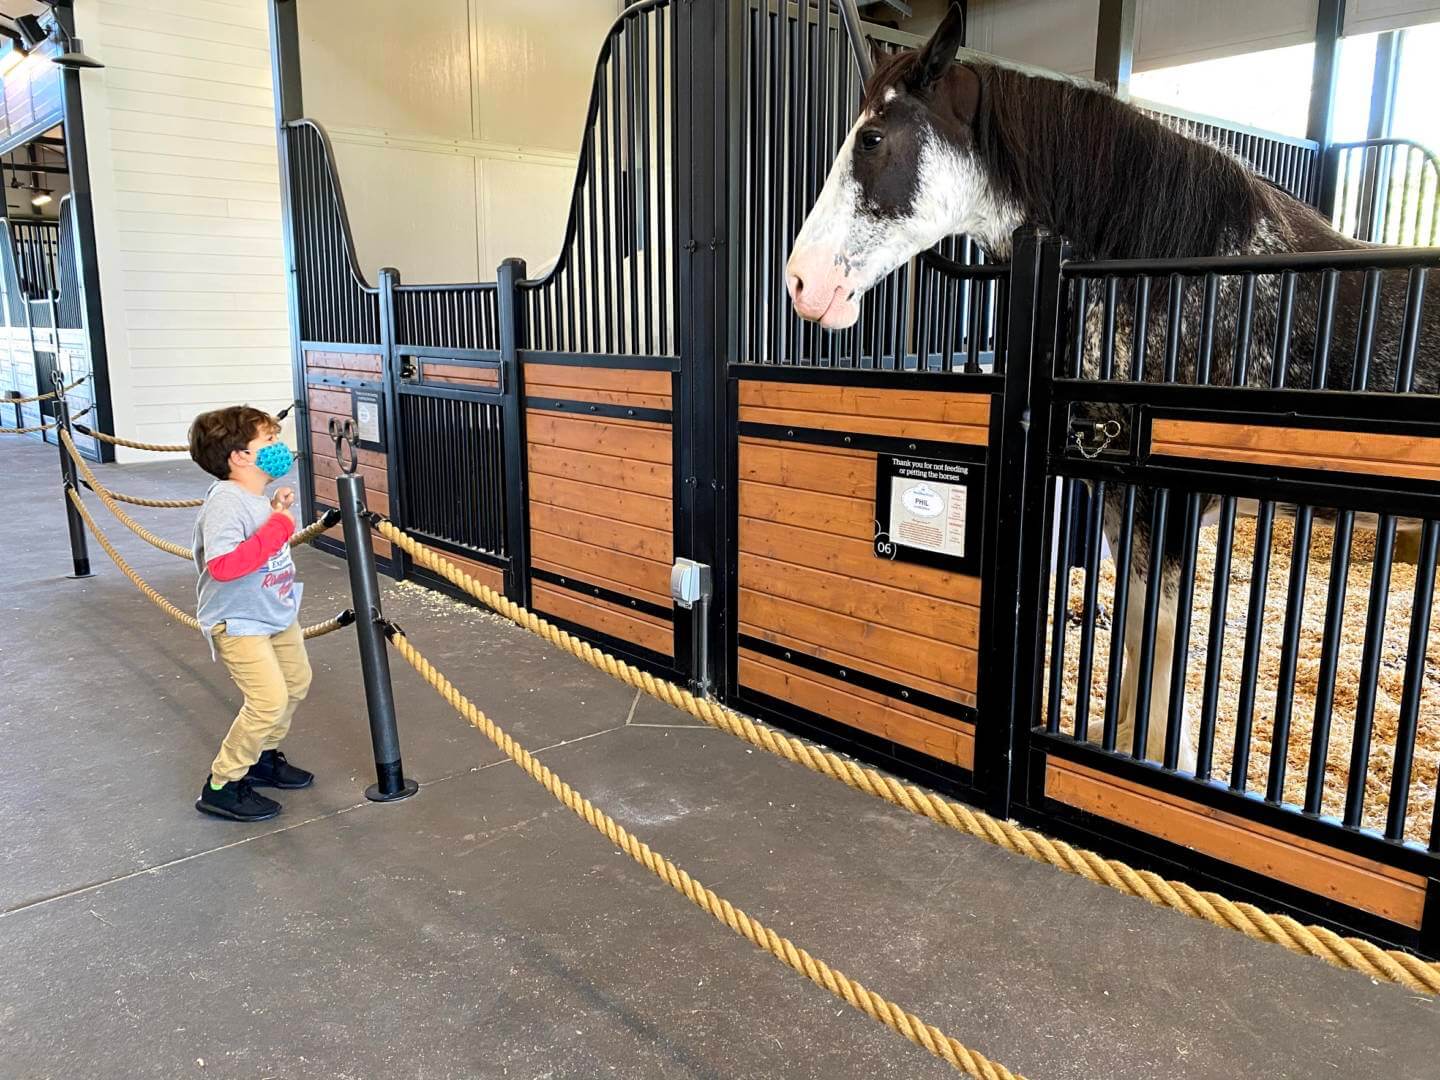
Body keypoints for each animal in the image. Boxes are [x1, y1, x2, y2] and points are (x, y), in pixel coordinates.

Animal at [789, 4, 1440, 771]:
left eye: (872, 139)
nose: (801, 283)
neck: (1178, 279)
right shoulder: (1117, 488)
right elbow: (1133, 620)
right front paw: (1116, 736)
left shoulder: (1170, 501)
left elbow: (1160, 626)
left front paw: (1154, 758)